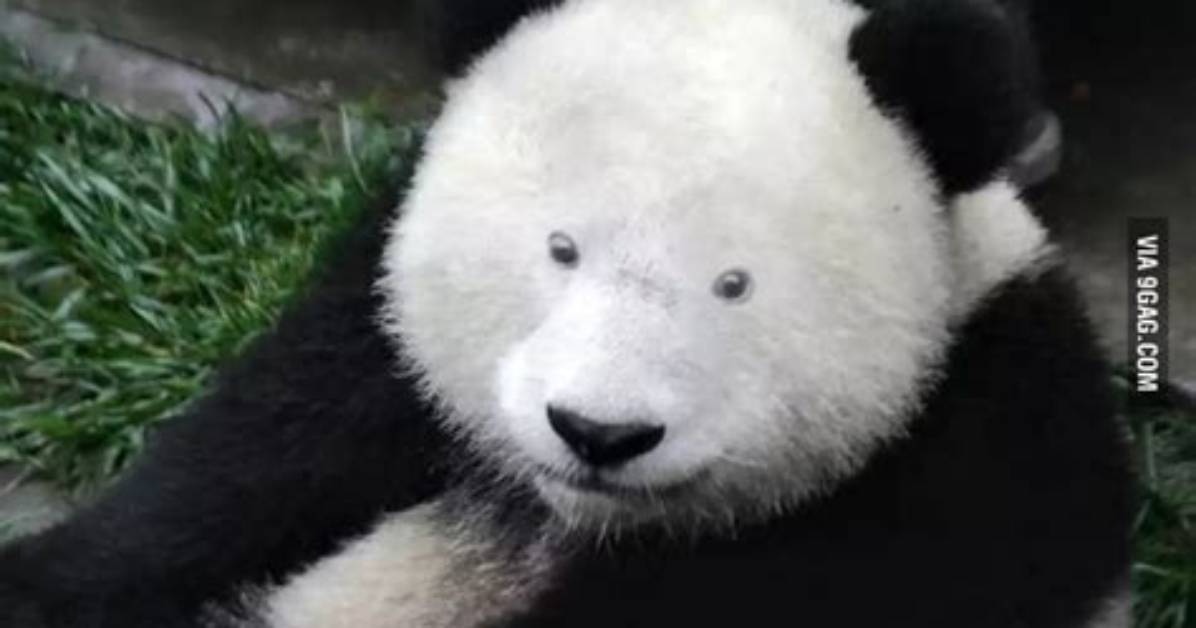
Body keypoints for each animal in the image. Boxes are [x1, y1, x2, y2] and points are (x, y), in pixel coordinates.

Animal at [0, 0, 1131, 627]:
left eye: (733, 285)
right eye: (560, 249)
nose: (599, 432)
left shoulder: (970, 470)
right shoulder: (377, 329)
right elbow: (246, 462)